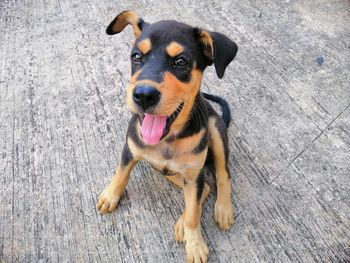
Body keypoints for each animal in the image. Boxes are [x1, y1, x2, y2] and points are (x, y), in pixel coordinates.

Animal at [97, 10, 237, 263]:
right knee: (204, 188)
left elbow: (194, 214)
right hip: (167, 172)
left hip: (215, 131)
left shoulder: (193, 174)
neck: (168, 139)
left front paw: (195, 244)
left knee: (221, 176)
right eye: (136, 56)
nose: (143, 95)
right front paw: (110, 195)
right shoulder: (130, 149)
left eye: (181, 61)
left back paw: (221, 209)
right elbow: (121, 173)